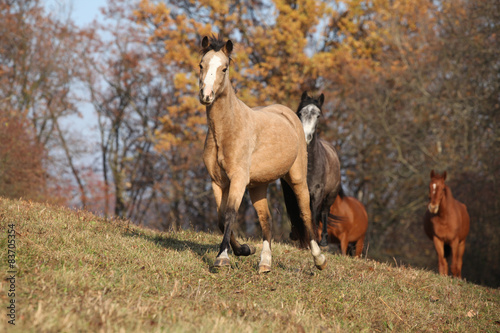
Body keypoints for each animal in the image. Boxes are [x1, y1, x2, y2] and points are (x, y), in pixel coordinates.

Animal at [197, 34, 326, 272]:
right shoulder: (218, 181)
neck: (227, 130)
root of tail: (288, 114)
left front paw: (223, 258)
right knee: (266, 219)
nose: (206, 95)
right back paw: (265, 262)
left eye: (224, 68)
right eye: (201, 65)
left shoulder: (238, 179)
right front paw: (244, 250)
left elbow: (229, 214)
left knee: (305, 213)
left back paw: (319, 259)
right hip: (258, 185)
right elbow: (220, 218)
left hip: (297, 179)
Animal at [292, 92, 342, 245]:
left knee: (324, 212)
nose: (305, 137)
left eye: (318, 115)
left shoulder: (317, 193)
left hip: (330, 195)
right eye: (300, 113)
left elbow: (313, 214)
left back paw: (324, 239)